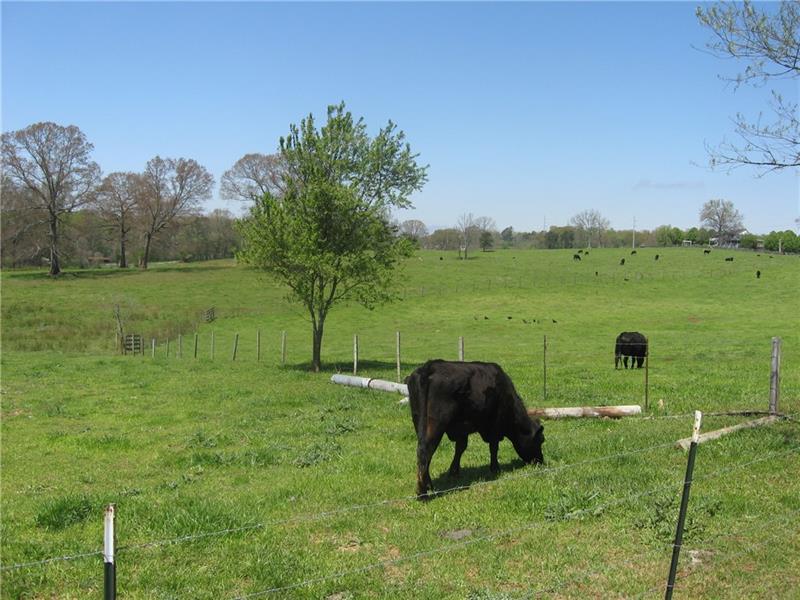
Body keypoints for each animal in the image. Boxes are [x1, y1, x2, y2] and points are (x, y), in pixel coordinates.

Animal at [406, 360, 544, 496]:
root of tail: (429, 366)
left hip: (418, 420)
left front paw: (454, 472)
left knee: (424, 454)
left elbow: (460, 448)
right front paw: (495, 468)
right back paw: (422, 491)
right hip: (436, 423)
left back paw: (429, 485)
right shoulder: (495, 427)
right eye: (540, 440)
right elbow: (493, 448)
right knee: (425, 451)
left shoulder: (462, 429)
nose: (540, 461)